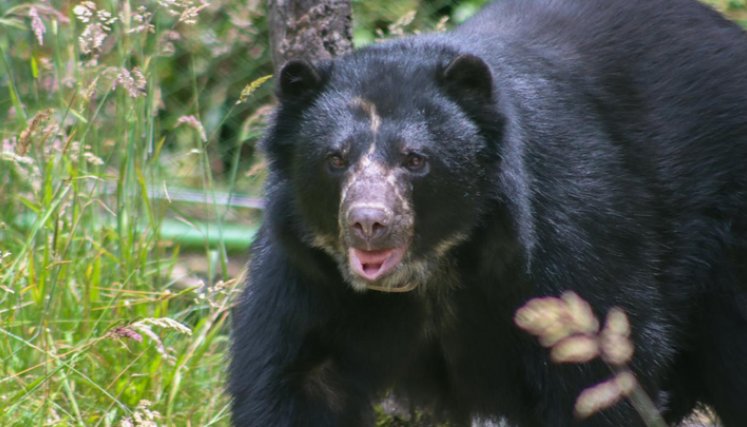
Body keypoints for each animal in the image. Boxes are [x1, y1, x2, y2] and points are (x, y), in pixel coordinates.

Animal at [229, 0, 747, 425]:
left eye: (415, 160)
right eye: (335, 159)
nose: (368, 223)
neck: (433, 266)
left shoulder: (569, 232)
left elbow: (594, 377)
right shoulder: (307, 274)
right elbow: (292, 379)